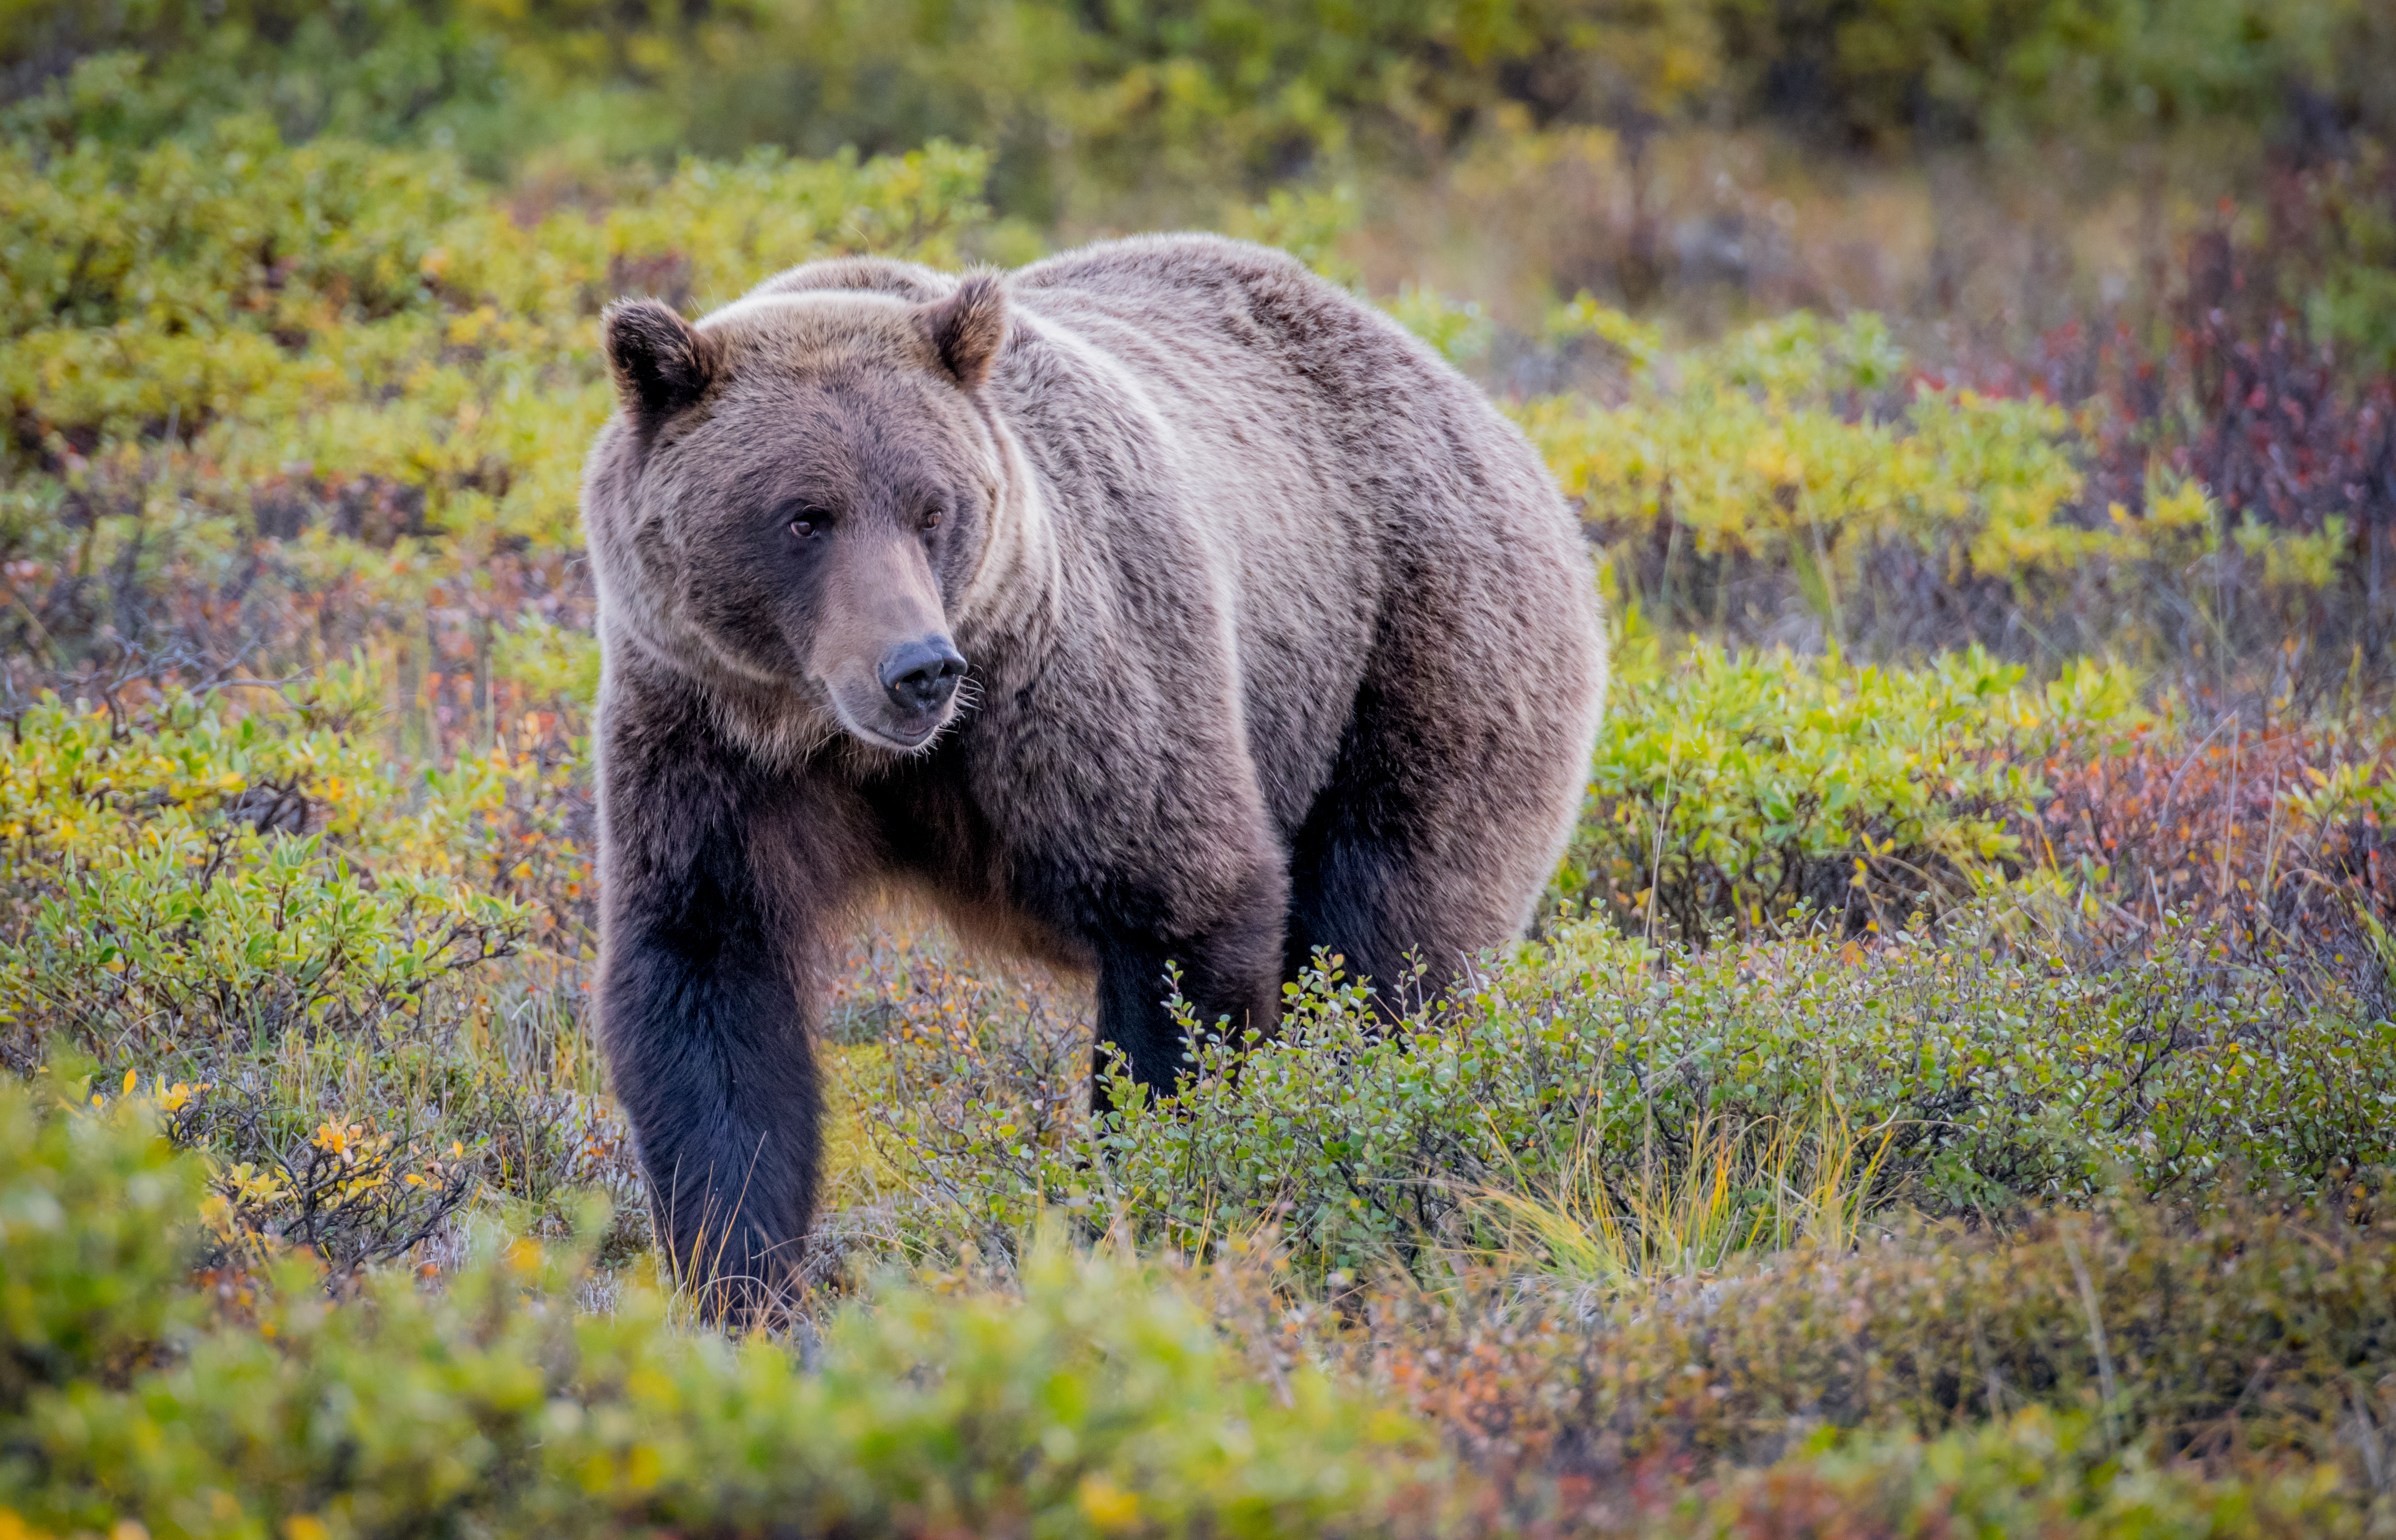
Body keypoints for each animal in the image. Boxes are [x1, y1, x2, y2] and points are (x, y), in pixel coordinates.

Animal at [580, 235, 1610, 1322]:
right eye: (804, 516)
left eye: (933, 506)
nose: (918, 667)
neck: (859, 749)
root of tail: (1487, 413)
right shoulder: (709, 744)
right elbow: (710, 990)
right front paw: (744, 1284)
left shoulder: (1078, 690)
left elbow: (1185, 913)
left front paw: (1169, 1196)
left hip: (1419, 657)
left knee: (1389, 945)